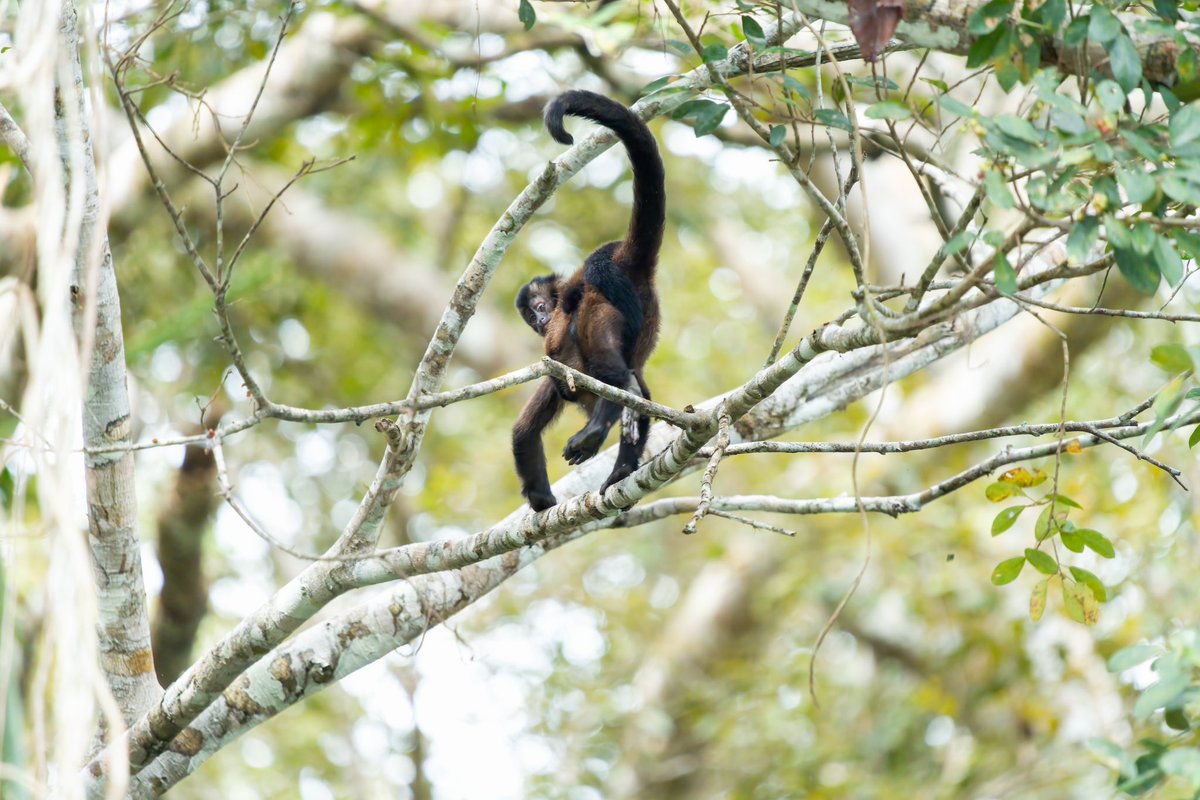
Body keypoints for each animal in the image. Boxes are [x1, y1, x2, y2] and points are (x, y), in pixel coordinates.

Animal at [512, 89, 665, 512]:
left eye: (540, 309)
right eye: (531, 318)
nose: (541, 321)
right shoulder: (556, 375)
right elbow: (523, 432)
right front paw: (541, 500)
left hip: (602, 308)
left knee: (606, 359)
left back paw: (611, 405)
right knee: (639, 385)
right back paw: (622, 463)